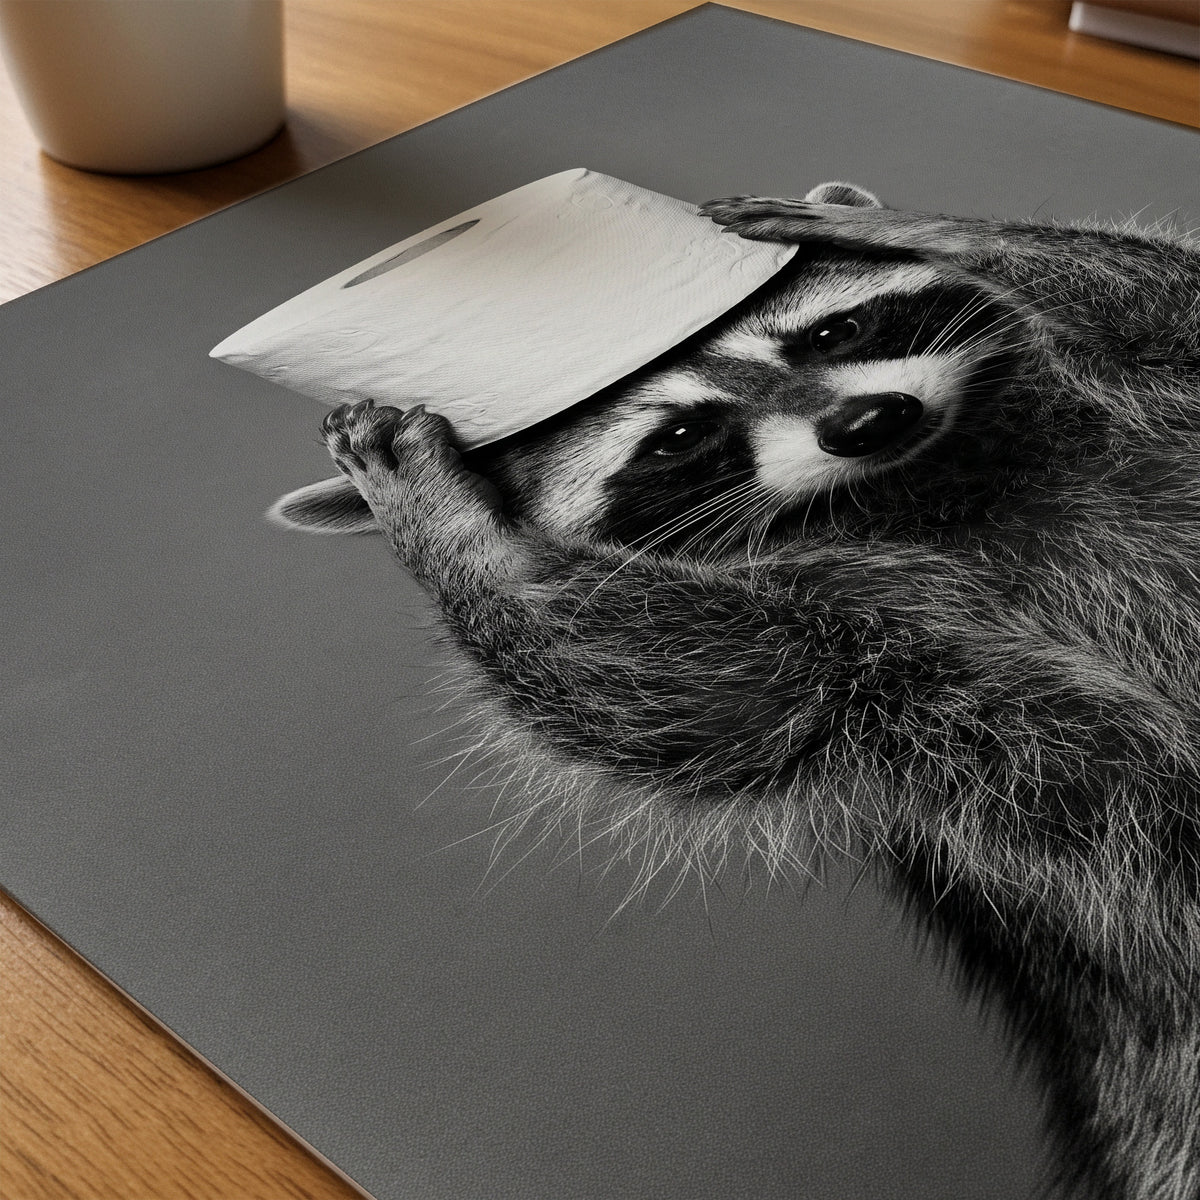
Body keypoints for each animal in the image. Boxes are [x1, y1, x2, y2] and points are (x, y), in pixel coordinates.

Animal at [274, 183, 1200, 1200]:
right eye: (681, 436)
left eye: (836, 331)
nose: (869, 422)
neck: (930, 483)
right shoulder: (852, 631)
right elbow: (676, 687)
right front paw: (447, 525)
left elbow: (1172, 303)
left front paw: (925, 230)